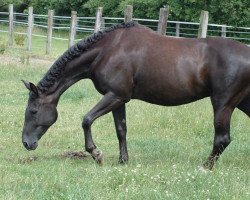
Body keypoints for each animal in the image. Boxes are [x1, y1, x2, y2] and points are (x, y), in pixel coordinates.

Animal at [22, 21, 250, 169]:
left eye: (33, 111)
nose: (26, 143)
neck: (108, 49)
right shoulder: (118, 99)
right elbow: (121, 130)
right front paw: (123, 161)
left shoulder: (115, 96)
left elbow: (86, 120)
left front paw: (97, 154)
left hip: (223, 104)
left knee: (222, 139)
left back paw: (204, 167)